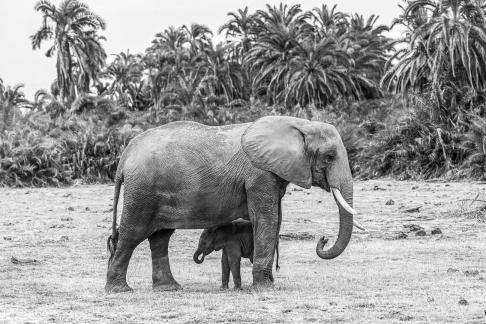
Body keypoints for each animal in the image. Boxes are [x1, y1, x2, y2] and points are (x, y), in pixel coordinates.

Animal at [107, 116, 364, 294]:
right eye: (329, 157)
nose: (323, 238)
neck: (299, 124)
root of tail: (126, 155)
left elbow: (275, 221)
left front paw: (268, 283)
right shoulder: (259, 176)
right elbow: (267, 220)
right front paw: (264, 288)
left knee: (160, 237)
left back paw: (169, 288)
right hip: (142, 192)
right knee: (132, 234)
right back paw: (120, 290)